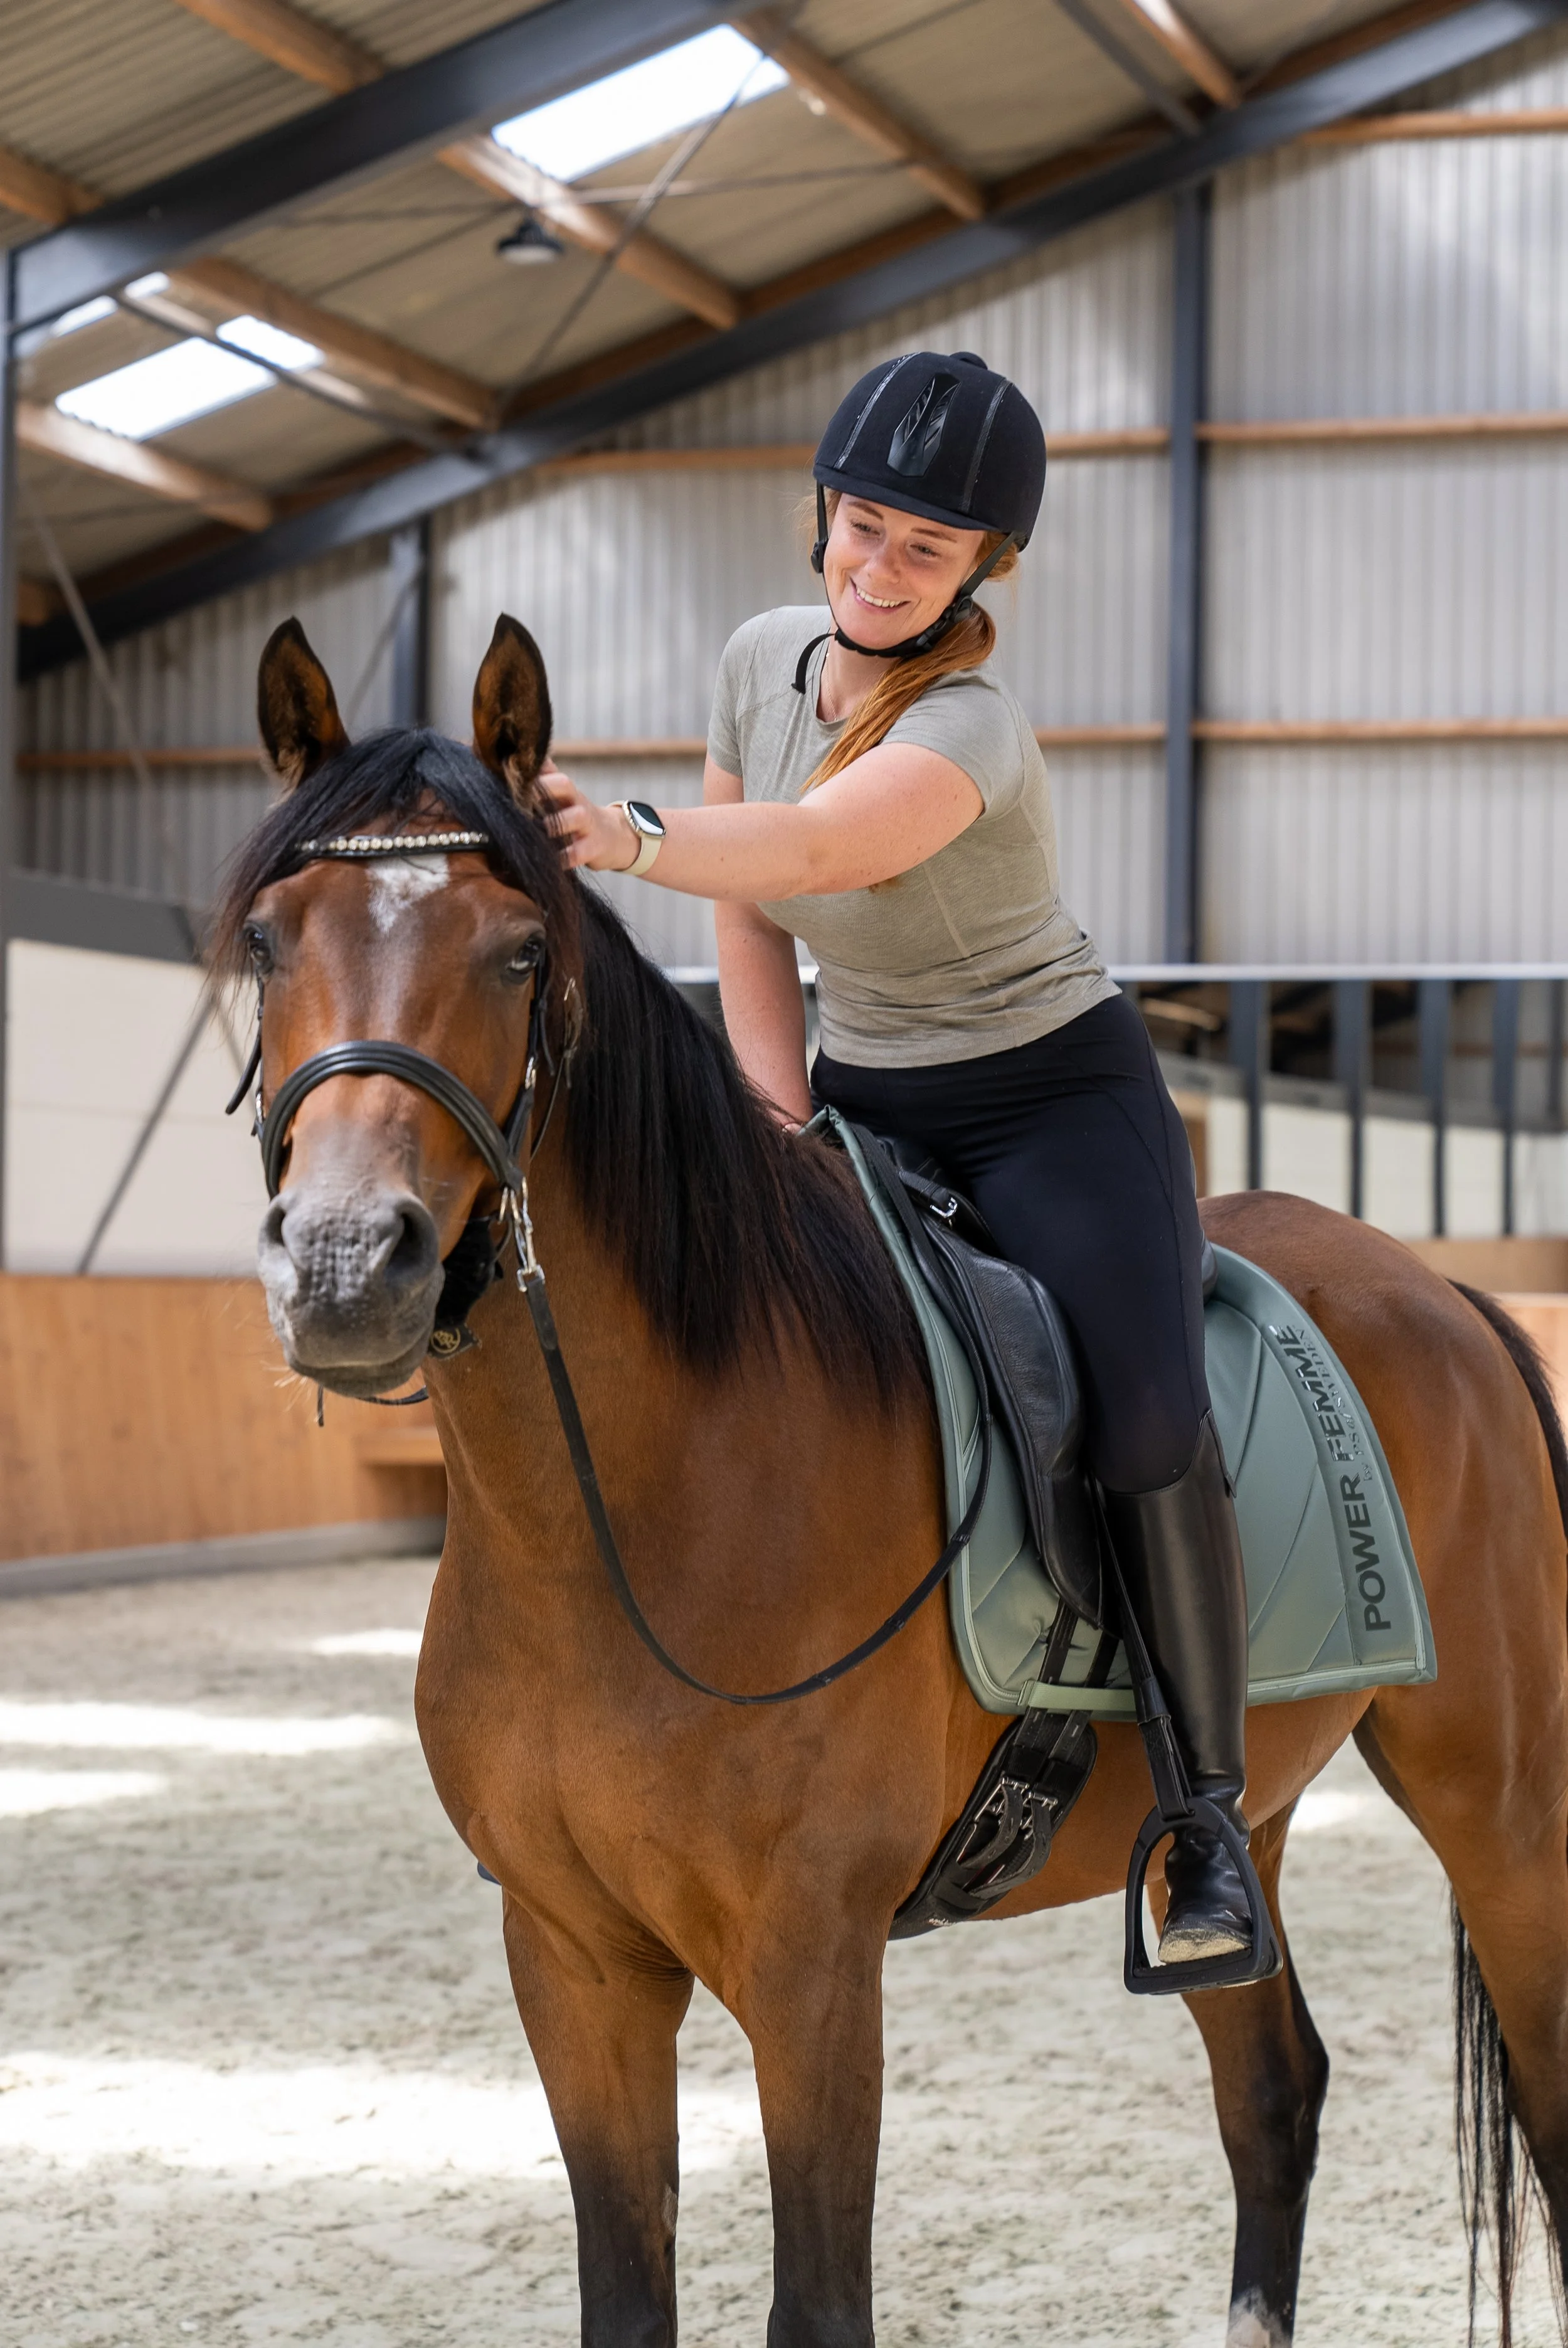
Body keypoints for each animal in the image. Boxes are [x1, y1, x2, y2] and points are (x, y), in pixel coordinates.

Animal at [217, 610, 1568, 2348]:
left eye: (518, 951)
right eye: (267, 940)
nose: (341, 1264)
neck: (626, 1525)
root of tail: (1441, 1288)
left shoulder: (811, 1967)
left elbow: (820, 2298)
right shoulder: (572, 1959)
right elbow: (624, 2288)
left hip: (1502, 1804)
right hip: (1247, 1821)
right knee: (1273, 2094)